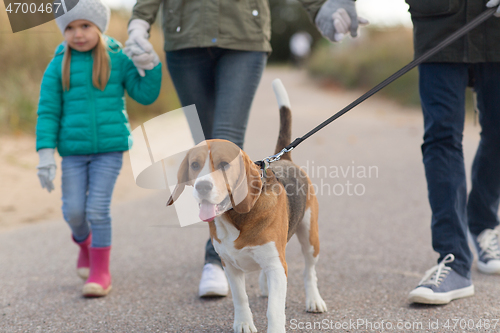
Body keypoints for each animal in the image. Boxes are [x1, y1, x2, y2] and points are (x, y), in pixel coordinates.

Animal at [166, 80, 326, 332]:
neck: (234, 220)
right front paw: (243, 323)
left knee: (309, 271)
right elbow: (240, 297)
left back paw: (314, 300)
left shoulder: (276, 266)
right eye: (194, 165)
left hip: (310, 238)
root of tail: (284, 158)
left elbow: (274, 310)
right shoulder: (229, 266)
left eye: (224, 164)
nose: (202, 186)